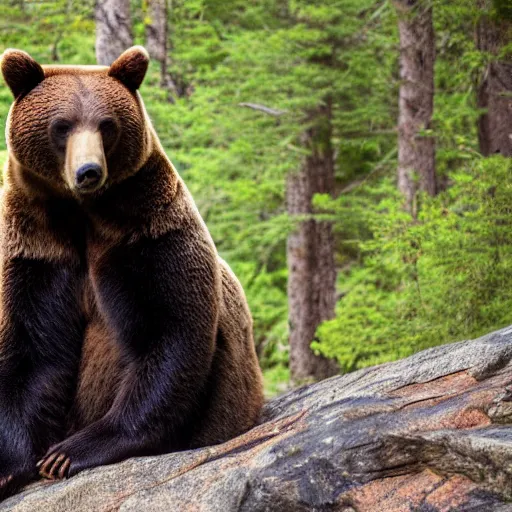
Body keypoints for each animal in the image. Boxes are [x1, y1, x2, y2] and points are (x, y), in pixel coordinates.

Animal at [0, 47, 264, 496]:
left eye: (107, 125)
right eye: (61, 126)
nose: (88, 171)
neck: (82, 218)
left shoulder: (149, 237)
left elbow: (169, 333)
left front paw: (68, 452)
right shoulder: (37, 255)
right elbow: (31, 353)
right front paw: (10, 466)